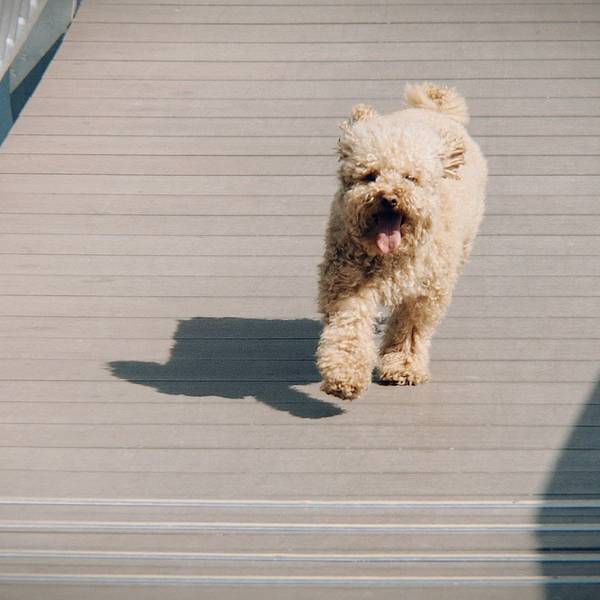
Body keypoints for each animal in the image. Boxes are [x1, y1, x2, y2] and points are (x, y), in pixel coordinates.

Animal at [316, 82, 487, 400]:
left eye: (410, 178)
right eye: (370, 176)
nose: (389, 199)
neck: (393, 259)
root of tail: (433, 112)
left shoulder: (426, 293)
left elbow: (410, 328)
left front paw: (403, 366)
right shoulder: (348, 284)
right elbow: (350, 328)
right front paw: (344, 375)